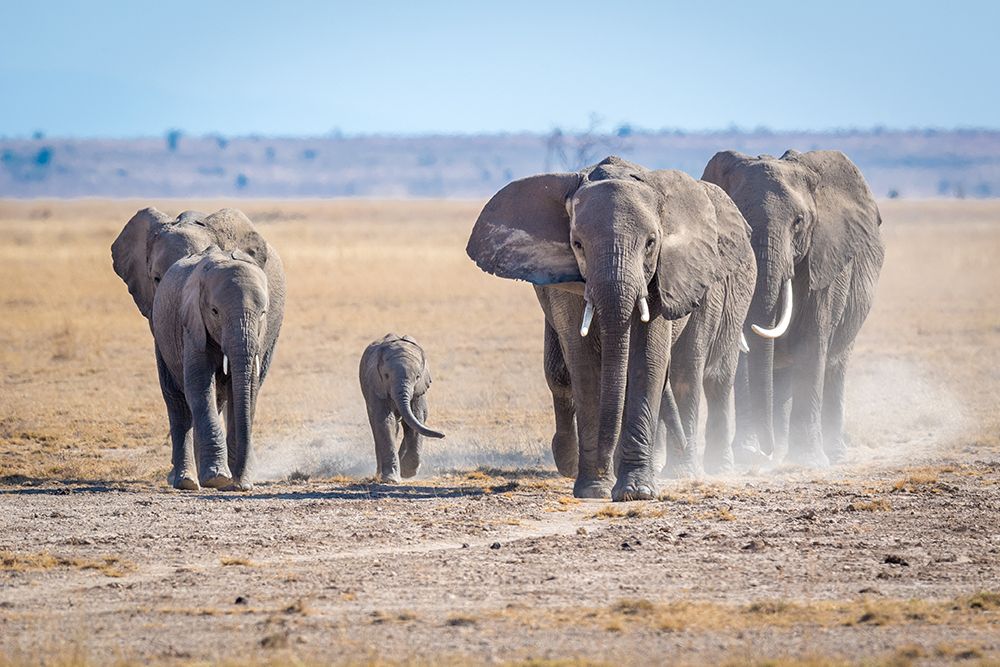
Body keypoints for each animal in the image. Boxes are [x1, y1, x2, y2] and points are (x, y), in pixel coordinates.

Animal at [151, 245, 270, 490]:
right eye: (215, 311)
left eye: (263, 313)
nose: (240, 484)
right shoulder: (191, 325)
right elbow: (198, 386)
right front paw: (217, 478)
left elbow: (247, 391)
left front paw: (238, 480)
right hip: (161, 338)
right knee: (177, 404)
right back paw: (186, 481)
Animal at [360, 336, 446, 482]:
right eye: (386, 375)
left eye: (417, 377)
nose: (442, 435)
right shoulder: (376, 385)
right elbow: (385, 421)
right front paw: (391, 479)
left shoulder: (418, 390)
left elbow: (416, 417)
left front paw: (407, 473)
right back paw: (380, 474)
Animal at [470, 157, 756, 500]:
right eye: (577, 244)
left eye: (651, 243)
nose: (604, 467)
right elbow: (583, 364)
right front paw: (594, 489)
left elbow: (647, 359)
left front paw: (637, 491)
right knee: (560, 372)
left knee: (688, 367)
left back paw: (682, 471)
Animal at [704, 149, 884, 468]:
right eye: (741, 222)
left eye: (798, 221)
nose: (767, 449)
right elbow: (745, 353)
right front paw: (749, 455)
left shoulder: (825, 260)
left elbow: (812, 343)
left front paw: (810, 460)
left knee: (835, 365)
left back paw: (831, 454)